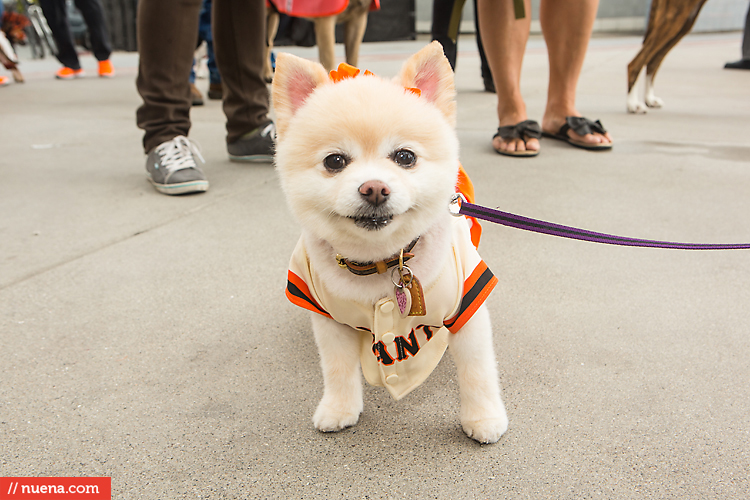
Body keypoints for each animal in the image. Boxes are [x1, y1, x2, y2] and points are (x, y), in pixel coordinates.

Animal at [274, 41, 508, 444]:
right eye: (335, 161)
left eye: (405, 156)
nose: (374, 188)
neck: (379, 263)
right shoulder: (326, 316)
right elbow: (337, 368)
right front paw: (339, 408)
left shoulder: (467, 304)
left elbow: (477, 369)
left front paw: (483, 417)